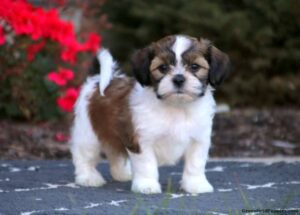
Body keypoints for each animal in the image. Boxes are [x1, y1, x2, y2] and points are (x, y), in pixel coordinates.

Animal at [70, 34, 230, 194]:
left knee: (115, 154)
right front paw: (146, 185)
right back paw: (88, 177)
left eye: (195, 67)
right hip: (88, 134)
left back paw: (122, 174)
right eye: (163, 68)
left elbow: (195, 164)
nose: (178, 78)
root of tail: (96, 82)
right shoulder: (141, 140)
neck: (176, 107)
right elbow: (146, 164)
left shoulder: (199, 139)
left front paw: (196, 184)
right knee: (84, 156)